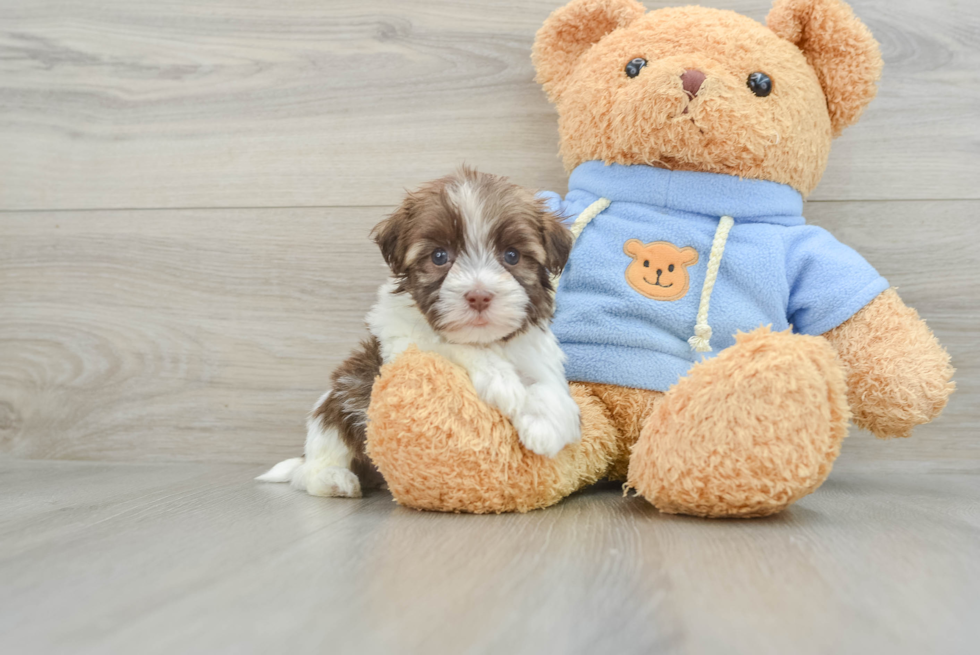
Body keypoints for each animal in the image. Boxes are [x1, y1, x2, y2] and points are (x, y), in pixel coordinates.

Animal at [260, 169, 580, 498]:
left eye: (512, 255)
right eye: (439, 256)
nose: (479, 296)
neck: (488, 340)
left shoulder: (536, 352)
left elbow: (549, 386)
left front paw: (546, 424)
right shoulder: (402, 338)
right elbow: (452, 346)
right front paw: (502, 381)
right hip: (338, 400)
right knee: (317, 458)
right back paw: (333, 479)